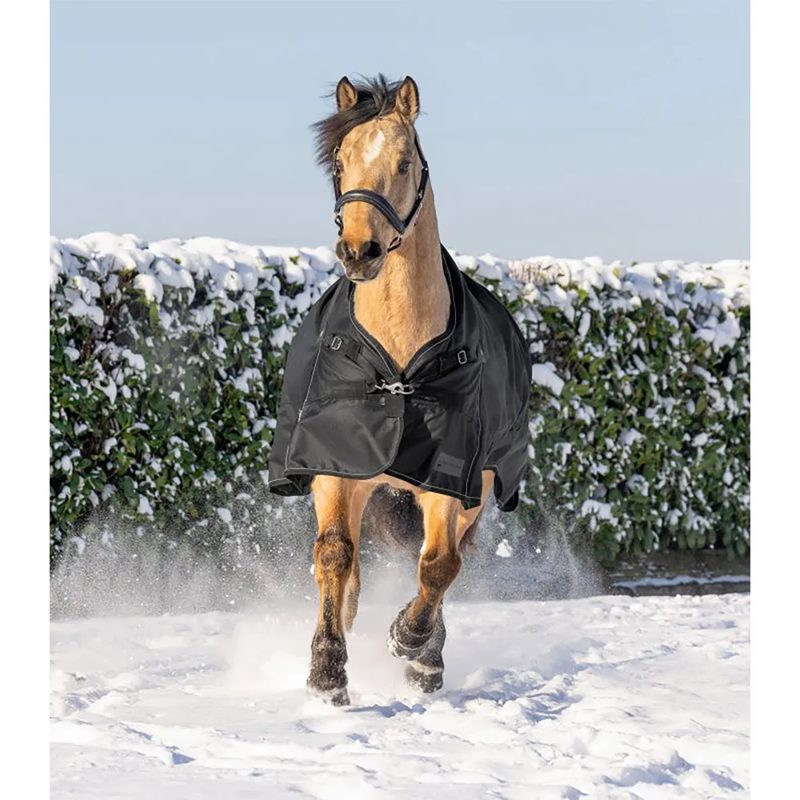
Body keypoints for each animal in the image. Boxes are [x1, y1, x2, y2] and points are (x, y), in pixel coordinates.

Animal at [269, 75, 530, 705]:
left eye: (405, 162)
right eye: (339, 161)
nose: (358, 252)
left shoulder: (451, 478)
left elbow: (438, 565)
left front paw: (412, 646)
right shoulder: (335, 467)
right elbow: (334, 554)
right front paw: (327, 671)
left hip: (480, 489)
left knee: (447, 560)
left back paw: (425, 654)